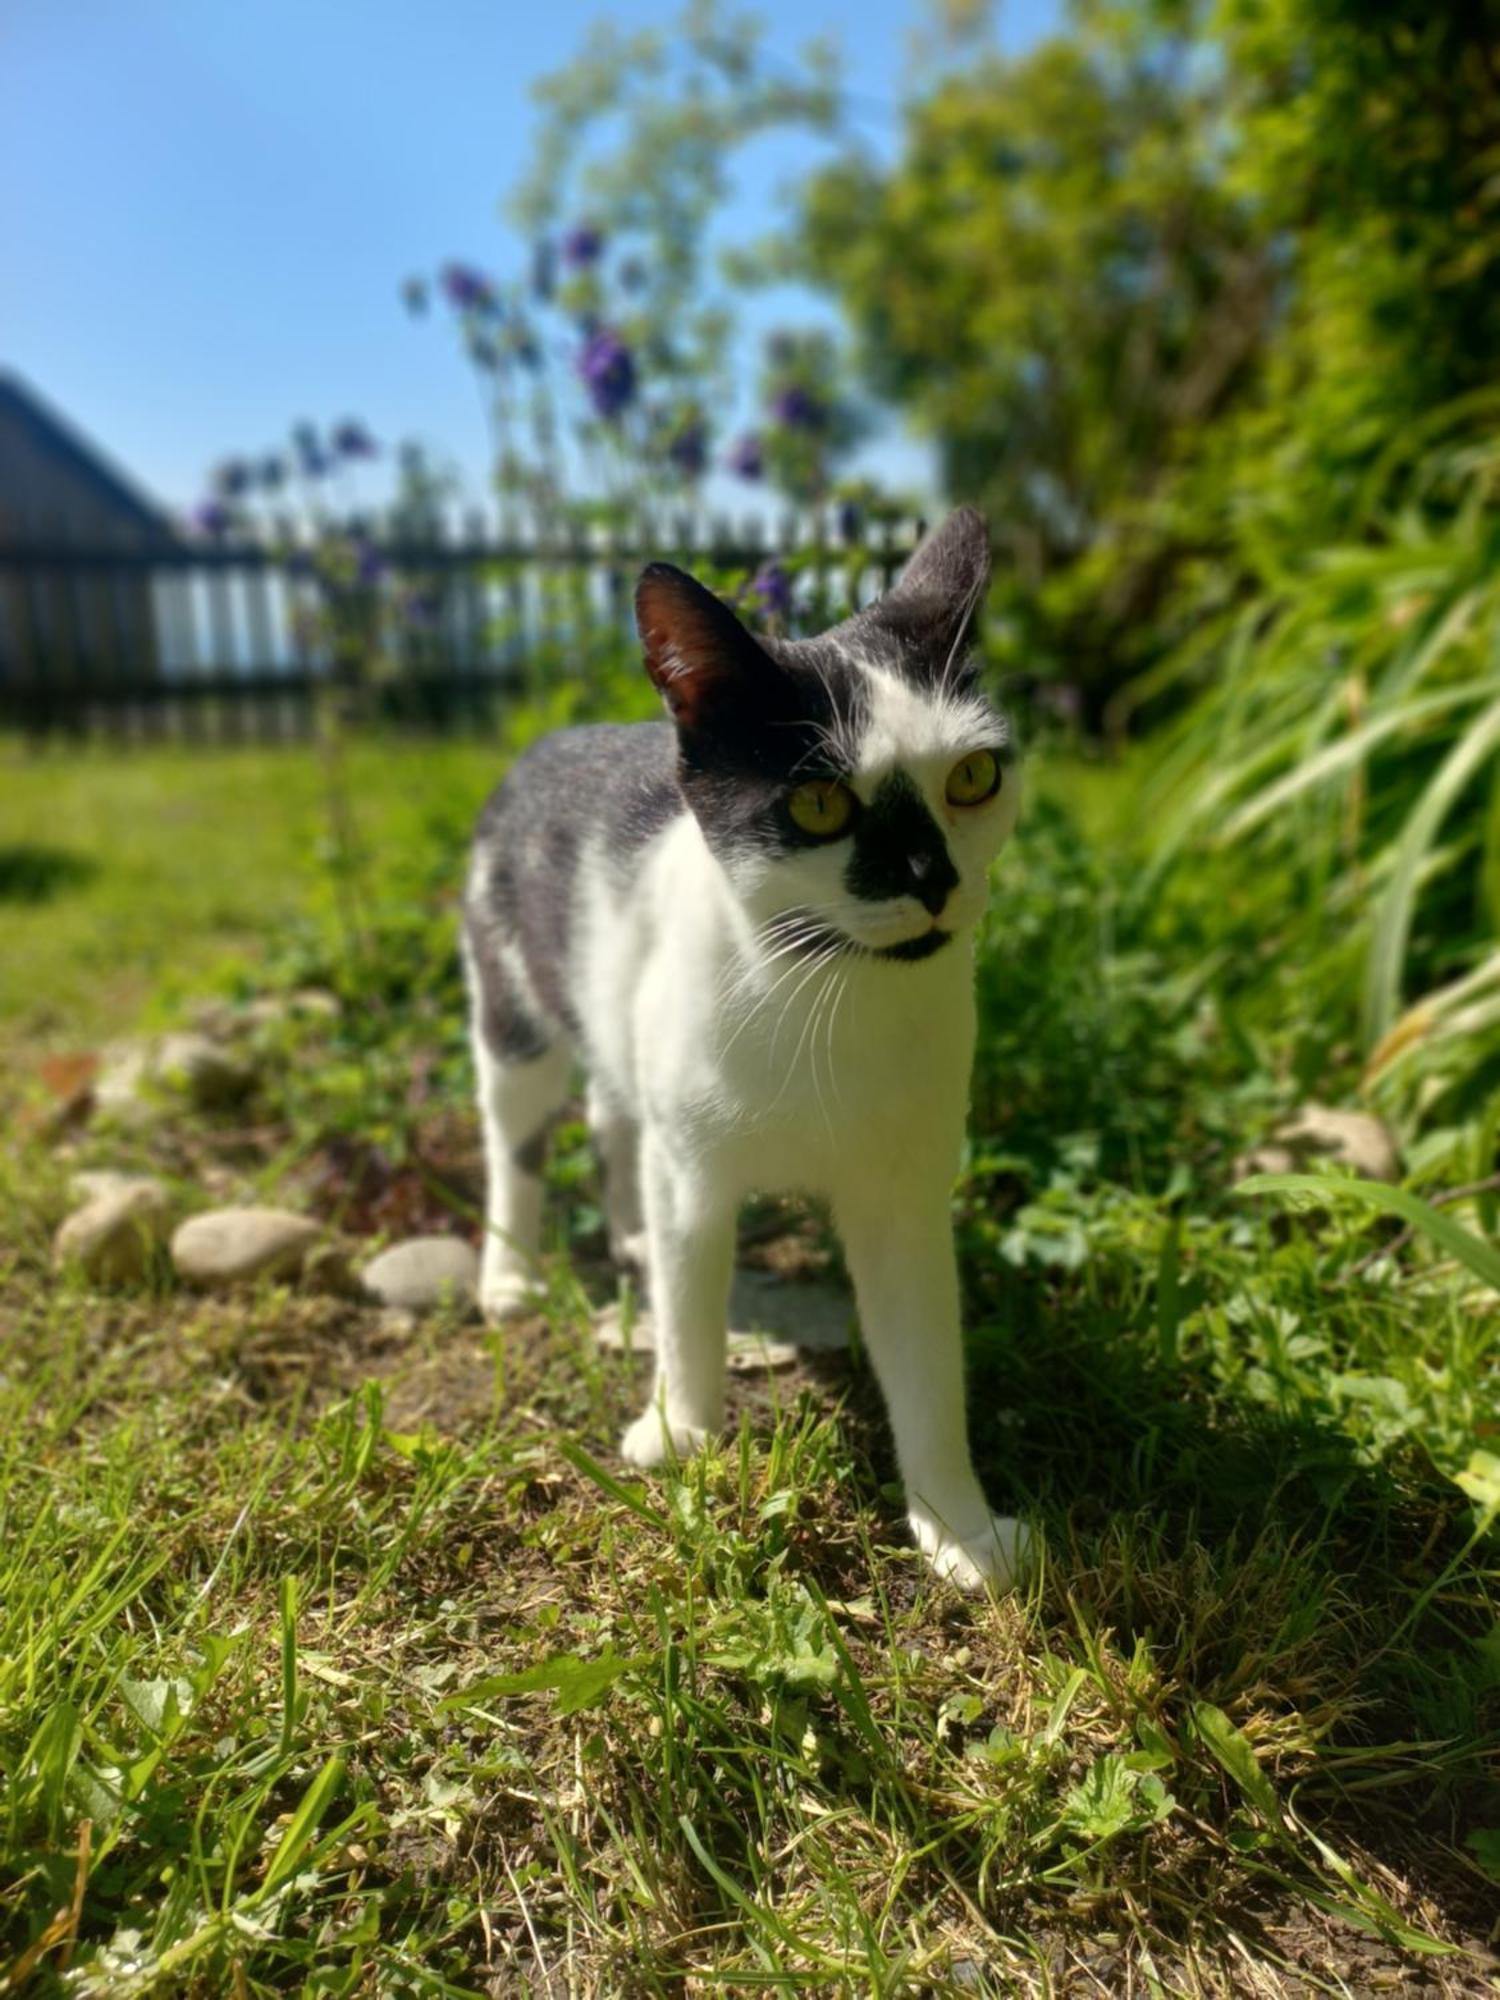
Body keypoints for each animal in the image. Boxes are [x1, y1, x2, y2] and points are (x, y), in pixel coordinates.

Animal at [464, 516, 1032, 1592]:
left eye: (973, 778)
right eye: (818, 806)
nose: (933, 878)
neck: (827, 999)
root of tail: (552, 740)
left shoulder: (904, 1190)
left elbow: (926, 1358)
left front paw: (959, 1527)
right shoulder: (694, 1167)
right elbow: (692, 1299)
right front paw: (679, 1429)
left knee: (615, 1118)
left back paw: (625, 1232)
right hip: (512, 1005)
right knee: (517, 1136)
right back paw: (509, 1274)